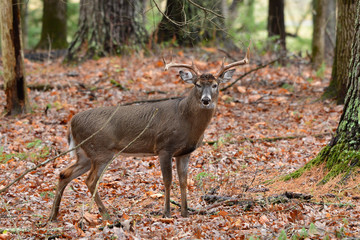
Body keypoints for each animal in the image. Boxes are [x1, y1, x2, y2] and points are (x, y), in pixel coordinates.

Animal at [49, 48, 249, 221]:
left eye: (215, 85)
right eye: (198, 84)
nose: (206, 100)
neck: (185, 118)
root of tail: (72, 122)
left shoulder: (185, 152)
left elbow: (183, 181)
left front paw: (185, 213)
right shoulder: (164, 147)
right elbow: (168, 181)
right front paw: (167, 213)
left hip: (84, 154)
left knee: (64, 173)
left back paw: (53, 216)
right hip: (100, 150)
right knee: (90, 181)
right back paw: (107, 215)